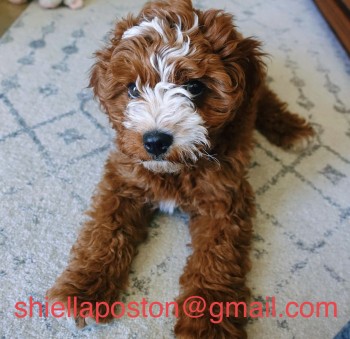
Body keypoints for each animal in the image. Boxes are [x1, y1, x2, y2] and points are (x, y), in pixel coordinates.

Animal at [47, 0, 314, 338]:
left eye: (195, 87)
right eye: (132, 89)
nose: (155, 141)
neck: (176, 168)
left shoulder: (223, 198)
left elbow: (217, 258)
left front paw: (208, 326)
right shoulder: (124, 178)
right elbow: (105, 232)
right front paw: (82, 293)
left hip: (254, 95)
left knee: (264, 96)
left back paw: (294, 130)